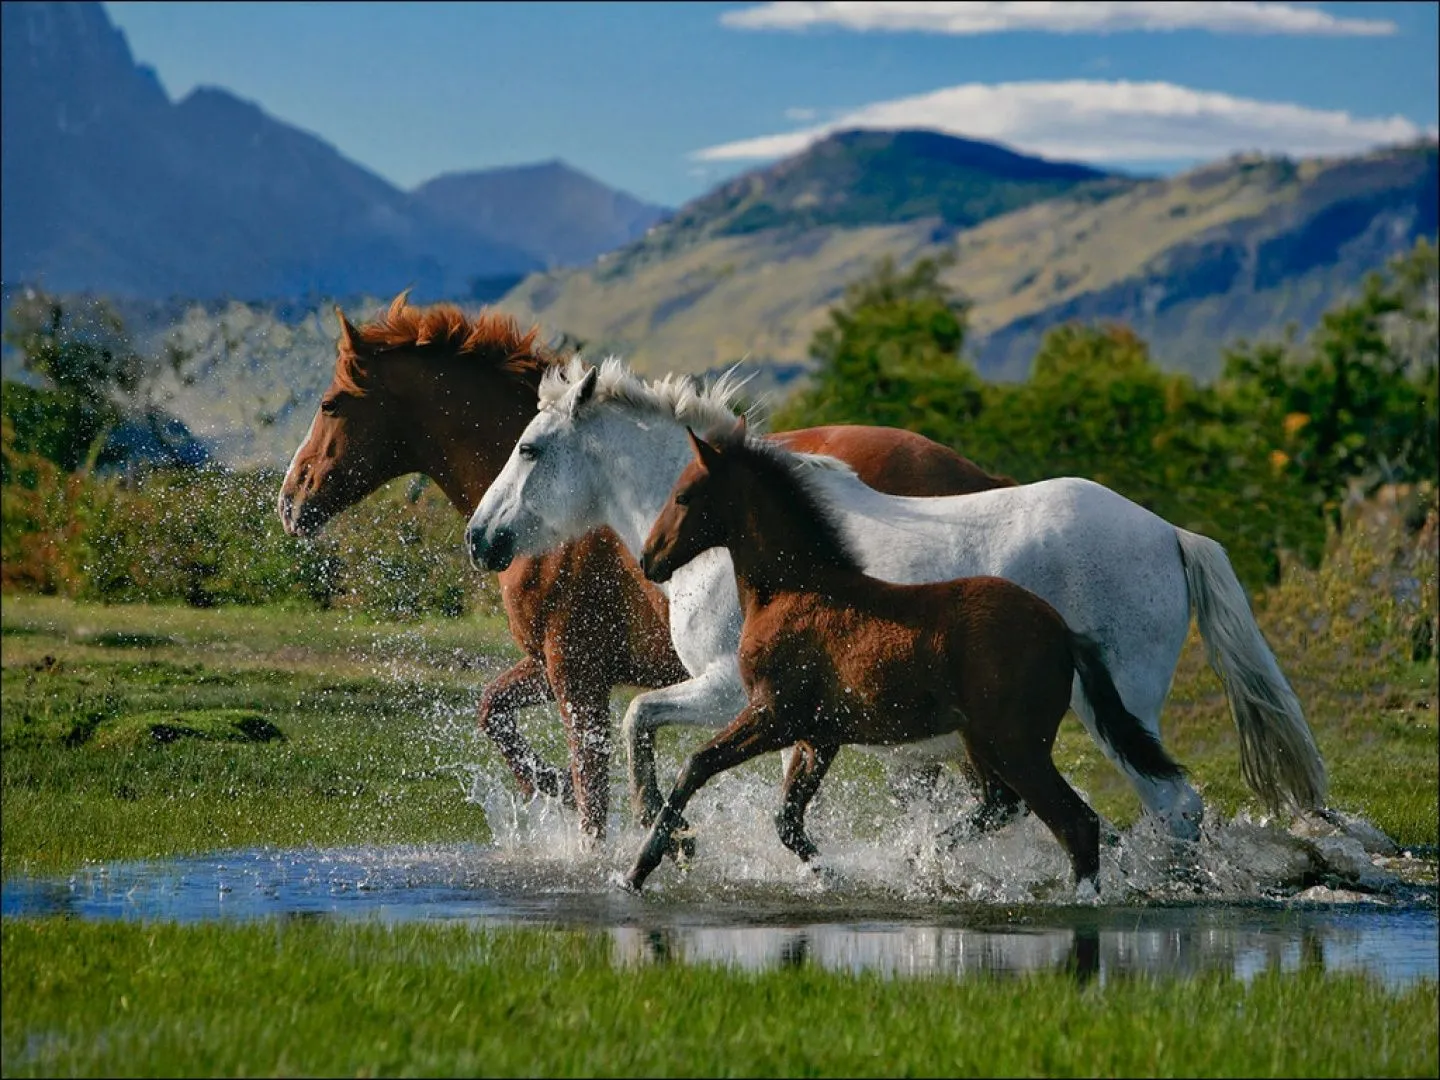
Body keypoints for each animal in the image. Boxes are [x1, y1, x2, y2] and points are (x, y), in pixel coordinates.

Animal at [280, 292, 1013, 840]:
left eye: (330, 404)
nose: (290, 502)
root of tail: (982, 477)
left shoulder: (576, 671)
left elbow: (593, 788)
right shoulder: (557, 665)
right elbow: (496, 712)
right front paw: (549, 786)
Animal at [463, 360, 1324, 840]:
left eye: (529, 449)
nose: (480, 537)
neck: (742, 541)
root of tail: (1170, 533)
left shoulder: (732, 690)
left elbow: (641, 719)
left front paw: (663, 832)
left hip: (1118, 712)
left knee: (1172, 806)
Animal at [627, 420, 1180, 898]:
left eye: (683, 495)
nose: (649, 560)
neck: (796, 590)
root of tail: (1063, 632)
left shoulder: (773, 714)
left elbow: (697, 766)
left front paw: (641, 867)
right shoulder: (819, 735)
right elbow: (787, 821)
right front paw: (833, 875)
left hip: (1017, 745)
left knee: (1076, 821)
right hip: (983, 743)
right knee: (1008, 806)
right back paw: (929, 858)